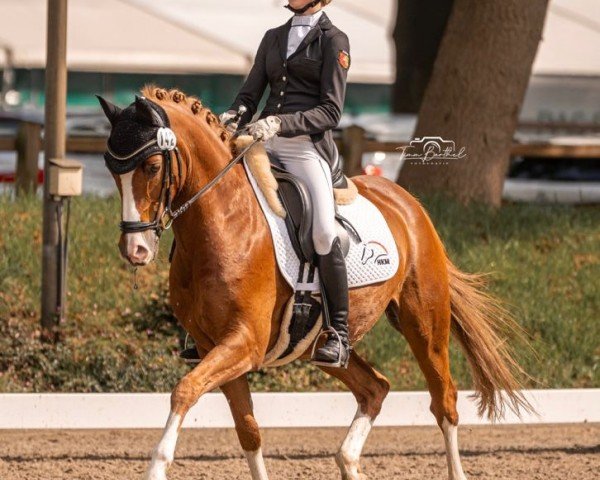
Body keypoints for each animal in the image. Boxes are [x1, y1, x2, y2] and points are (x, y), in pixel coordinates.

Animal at [102, 87, 528, 480]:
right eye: (111, 169)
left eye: (152, 166)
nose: (136, 249)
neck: (224, 221)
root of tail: (406, 201)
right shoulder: (213, 347)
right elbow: (248, 431)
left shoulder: (244, 343)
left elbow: (184, 391)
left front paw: (157, 466)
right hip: (319, 345)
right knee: (375, 388)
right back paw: (348, 461)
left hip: (424, 323)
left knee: (445, 402)